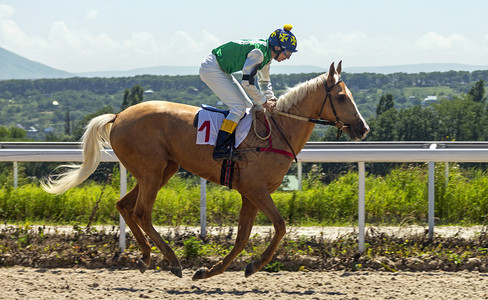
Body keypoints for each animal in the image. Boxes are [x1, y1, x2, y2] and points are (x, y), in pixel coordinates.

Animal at [43, 61, 370, 282]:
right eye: (341, 97)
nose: (363, 128)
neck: (277, 132)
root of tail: (119, 114)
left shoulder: (251, 195)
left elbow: (242, 238)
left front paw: (211, 271)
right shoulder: (255, 190)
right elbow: (279, 226)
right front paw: (253, 266)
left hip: (163, 170)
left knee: (124, 206)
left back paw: (146, 257)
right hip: (151, 172)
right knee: (141, 213)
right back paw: (172, 261)